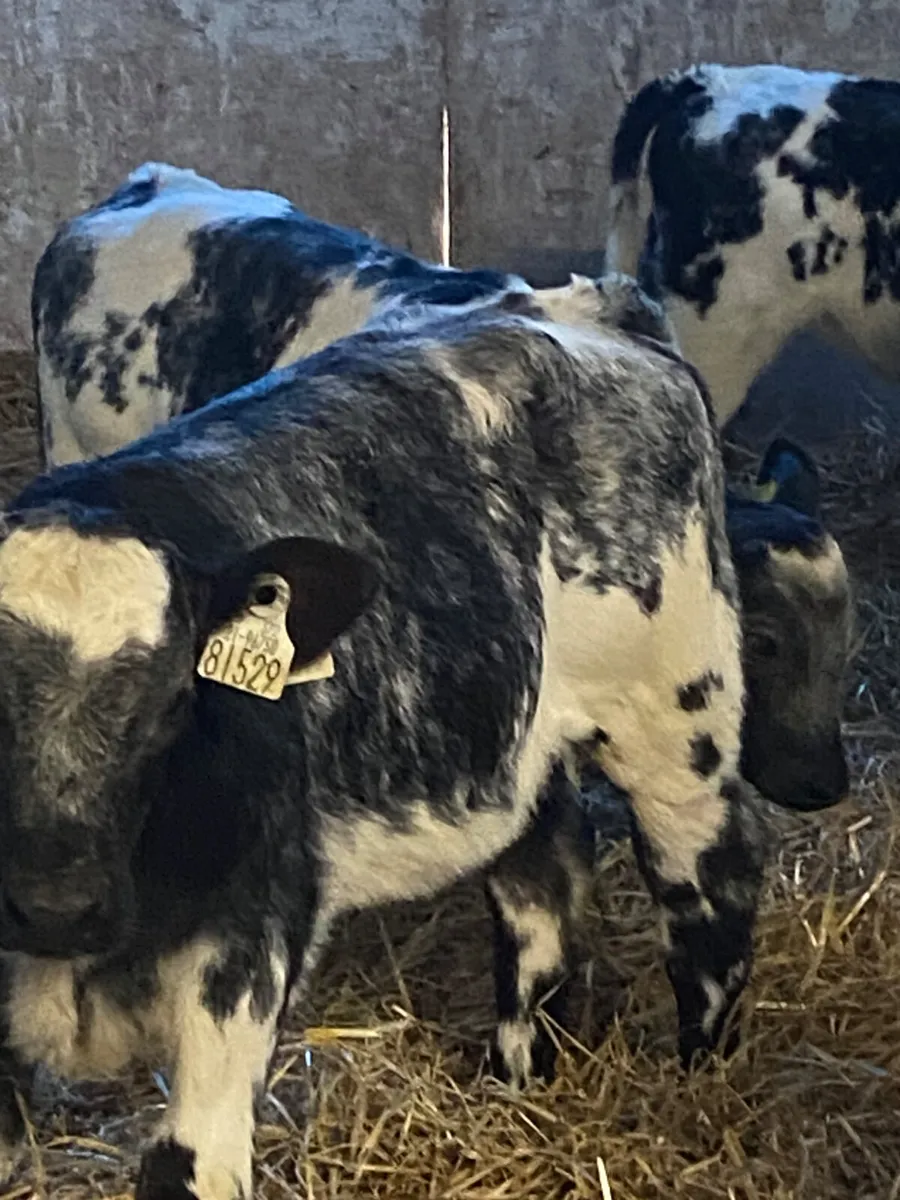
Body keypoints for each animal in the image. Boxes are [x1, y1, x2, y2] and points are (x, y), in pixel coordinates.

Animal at [0, 296, 849, 1198]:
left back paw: (700, 1066)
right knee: (543, 882)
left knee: (711, 873)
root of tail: (583, 306)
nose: (61, 906)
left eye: (173, 702)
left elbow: (190, 1163)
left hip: (676, 721)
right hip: (524, 746)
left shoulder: (246, 943)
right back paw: (520, 1073)